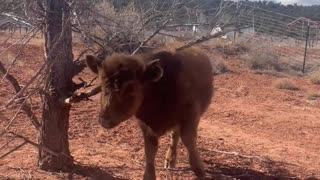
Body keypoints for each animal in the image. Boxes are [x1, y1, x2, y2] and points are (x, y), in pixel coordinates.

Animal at [86, 46, 214, 180]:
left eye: (130, 91)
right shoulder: (147, 127)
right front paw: (149, 175)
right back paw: (170, 160)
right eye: (102, 87)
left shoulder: (190, 116)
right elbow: (150, 150)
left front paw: (199, 170)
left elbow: (189, 141)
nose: (104, 120)